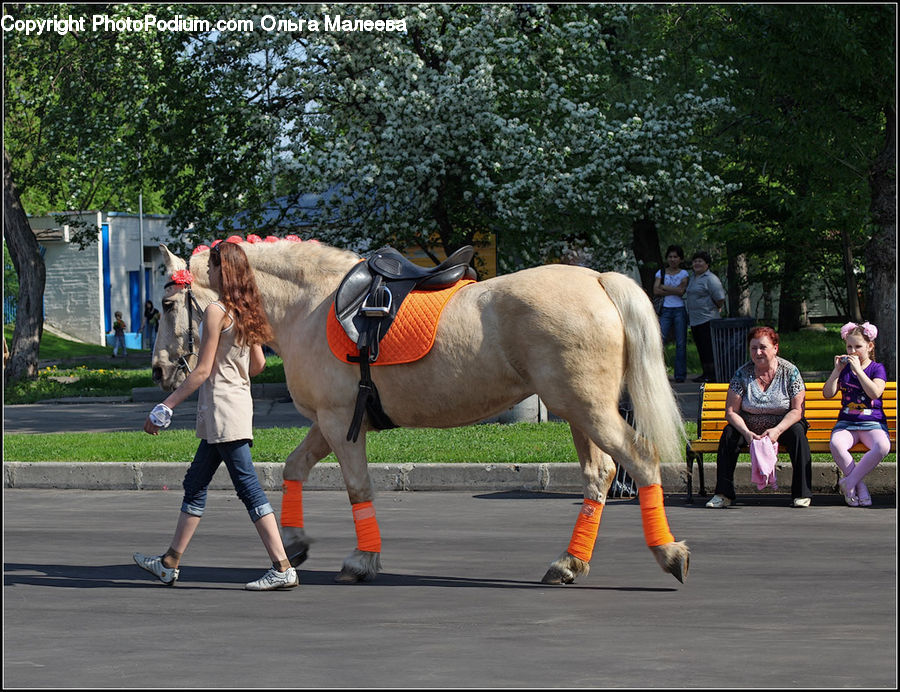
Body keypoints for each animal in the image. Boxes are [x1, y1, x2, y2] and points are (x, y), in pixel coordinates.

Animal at [152, 238, 690, 585]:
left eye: (166, 303)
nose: (159, 370)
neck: (310, 305)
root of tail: (598, 280)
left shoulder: (340, 423)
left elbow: (357, 488)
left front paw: (363, 560)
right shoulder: (327, 422)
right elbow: (293, 468)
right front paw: (294, 541)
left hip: (587, 409)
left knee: (640, 460)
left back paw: (668, 552)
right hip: (579, 413)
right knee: (600, 476)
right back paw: (569, 563)